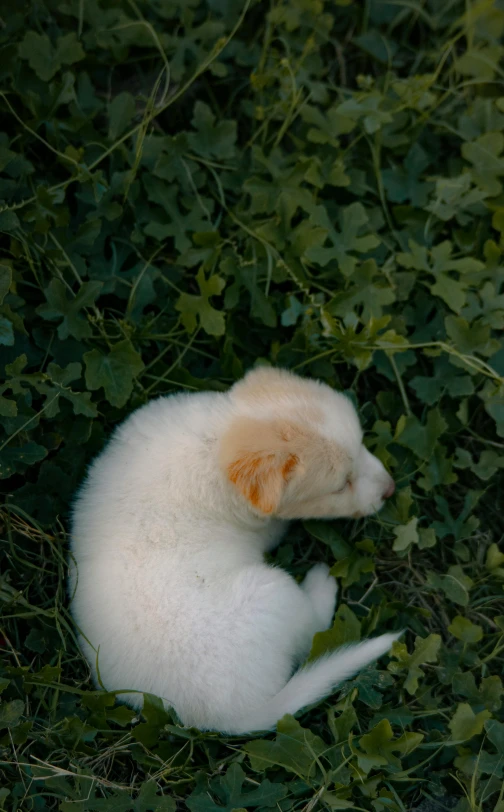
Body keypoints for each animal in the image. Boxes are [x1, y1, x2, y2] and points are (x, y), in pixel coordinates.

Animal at [71, 364, 400, 732]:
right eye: (341, 485)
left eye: (361, 444)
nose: (391, 489)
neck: (218, 441)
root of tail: (224, 719)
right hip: (272, 592)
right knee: (310, 630)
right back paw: (322, 584)